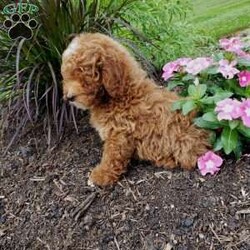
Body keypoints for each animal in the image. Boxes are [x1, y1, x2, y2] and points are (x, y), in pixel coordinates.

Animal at [61, 32, 210, 186]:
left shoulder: (120, 132)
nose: (68, 97)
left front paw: (101, 175)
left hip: (182, 142)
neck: (120, 94)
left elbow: (112, 156)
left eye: (85, 74)